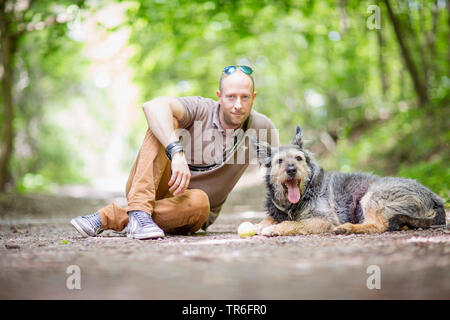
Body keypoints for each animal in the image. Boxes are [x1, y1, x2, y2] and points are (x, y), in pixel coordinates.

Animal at [253, 126, 446, 236]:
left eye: (298, 158)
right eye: (279, 161)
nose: (292, 170)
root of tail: (435, 198)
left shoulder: (324, 220)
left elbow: (293, 223)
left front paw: (275, 228)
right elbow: (268, 219)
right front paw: (261, 224)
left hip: (372, 196)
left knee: (379, 225)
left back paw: (348, 228)